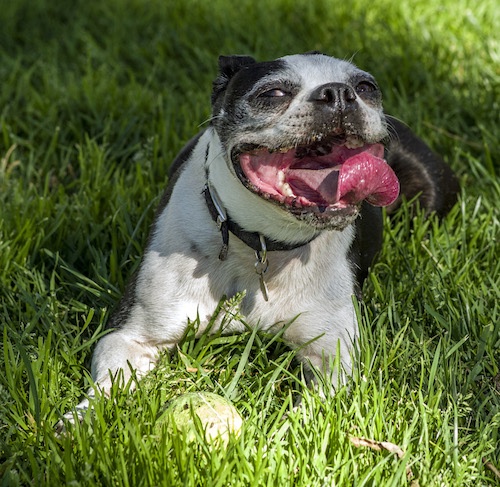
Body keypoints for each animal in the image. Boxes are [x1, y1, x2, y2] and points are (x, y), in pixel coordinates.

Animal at [60, 53, 458, 426]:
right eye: (274, 93)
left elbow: (310, 412)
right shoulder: (132, 336)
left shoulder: (333, 353)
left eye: (365, 87)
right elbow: (107, 385)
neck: (262, 245)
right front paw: (78, 421)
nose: (340, 93)